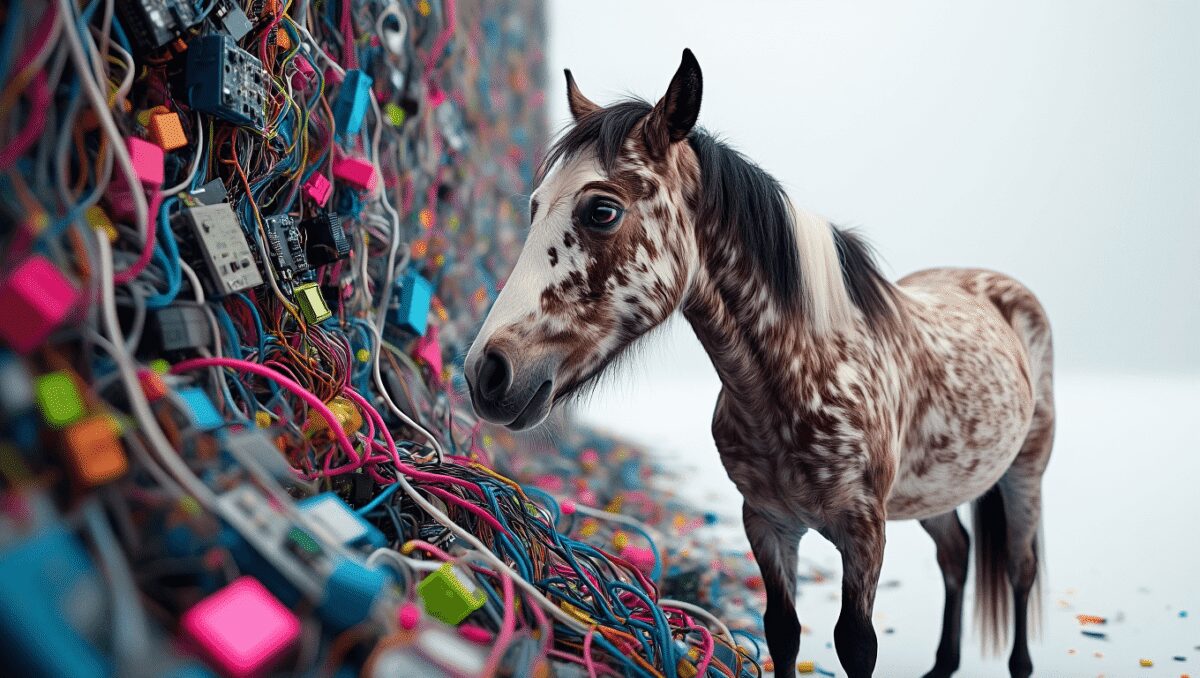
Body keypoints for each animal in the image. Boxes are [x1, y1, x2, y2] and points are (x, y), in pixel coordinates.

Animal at [464, 49, 1054, 678]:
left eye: (601, 210)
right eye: (534, 207)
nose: (488, 371)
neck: (803, 377)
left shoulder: (864, 531)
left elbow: (856, 643)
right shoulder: (768, 523)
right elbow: (783, 633)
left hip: (1024, 475)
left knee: (1019, 570)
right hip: (933, 491)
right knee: (955, 556)